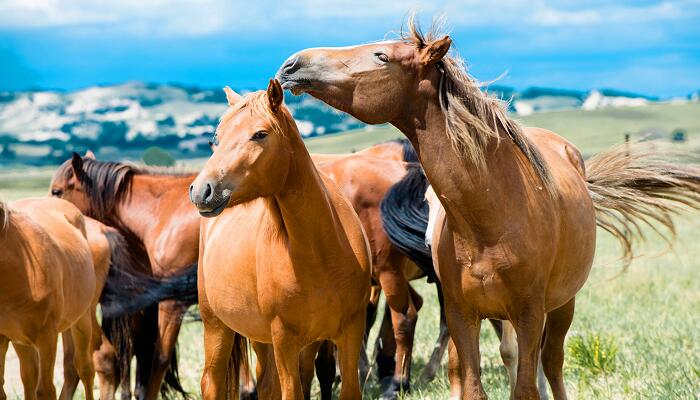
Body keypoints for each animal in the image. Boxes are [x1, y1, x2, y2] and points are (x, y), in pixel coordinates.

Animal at [0, 198, 95, 400]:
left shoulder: (47, 336)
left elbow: (46, 390)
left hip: (82, 320)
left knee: (85, 369)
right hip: (20, 341)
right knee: (29, 377)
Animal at [186, 79, 372, 400]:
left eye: (260, 134)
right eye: (217, 138)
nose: (202, 190)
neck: (321, 253)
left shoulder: (350, 331)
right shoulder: (284, 339)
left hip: (261, 338)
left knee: (266, 383)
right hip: (216, 325)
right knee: (212, 382)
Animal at [278, 16, 700, 400]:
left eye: (381, 56)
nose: (292, 64)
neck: (491, 218)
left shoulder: (528, 314)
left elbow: (525, 387)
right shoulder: (463, 315)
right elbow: (472, 385)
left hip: (562, 305)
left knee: (553, 364)